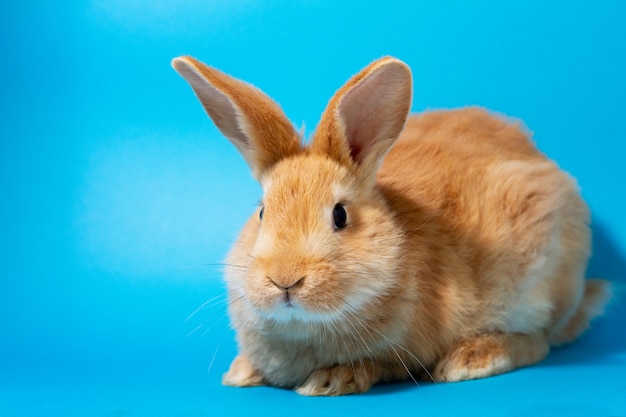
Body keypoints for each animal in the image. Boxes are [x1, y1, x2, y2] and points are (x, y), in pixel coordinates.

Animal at [171, 56, 608, 396]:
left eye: (340, 215)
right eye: (262, 212)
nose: (285, 281)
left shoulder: (404, 350)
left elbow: (379, 365)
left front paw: (330, 380)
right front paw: (241, 371)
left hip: (541, 279)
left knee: (539, 341)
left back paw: (468, 361)